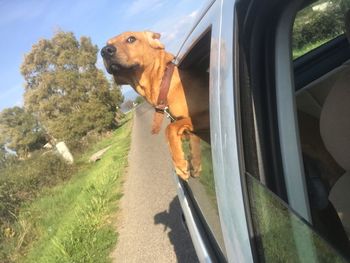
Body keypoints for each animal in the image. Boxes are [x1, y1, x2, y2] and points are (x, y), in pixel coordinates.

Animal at [102, 30, 211, 179]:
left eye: (131, 39)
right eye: (107, 43)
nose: (104, 51)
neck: (165, 82)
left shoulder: (209, 114)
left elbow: (170, 128)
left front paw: (179, 164)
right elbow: (191, 136)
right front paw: (195, 163)